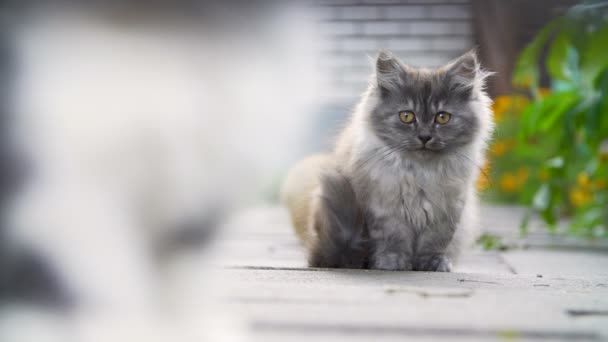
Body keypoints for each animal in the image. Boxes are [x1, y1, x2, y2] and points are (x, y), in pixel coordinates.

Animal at [282, 49, 494, 272]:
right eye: (407, 116)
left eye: (442, 117)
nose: (425, 137)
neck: (420, 173)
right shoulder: (384, 209)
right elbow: (394, 240)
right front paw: (392, 263)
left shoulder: (447, 210)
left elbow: (435, 242)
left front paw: (433, 264)